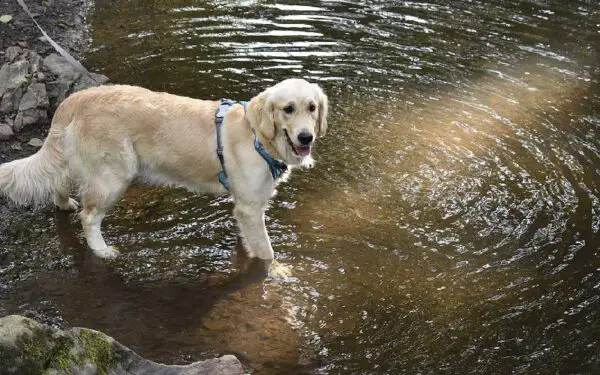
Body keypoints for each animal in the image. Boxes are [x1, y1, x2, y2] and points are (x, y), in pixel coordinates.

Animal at [0, 78, 328, 280]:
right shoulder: (250, 206)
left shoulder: (245, 207)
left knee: (60, 185)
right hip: (113, 175)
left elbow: (249, 240)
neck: (257, 135)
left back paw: (64, 203)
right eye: (288, 109)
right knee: (89, 216)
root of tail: (74, 99)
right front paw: (278, 271)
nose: (306, 137)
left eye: (312, 108)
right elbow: (266, 250)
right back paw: (102, 250)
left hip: (76, 162)